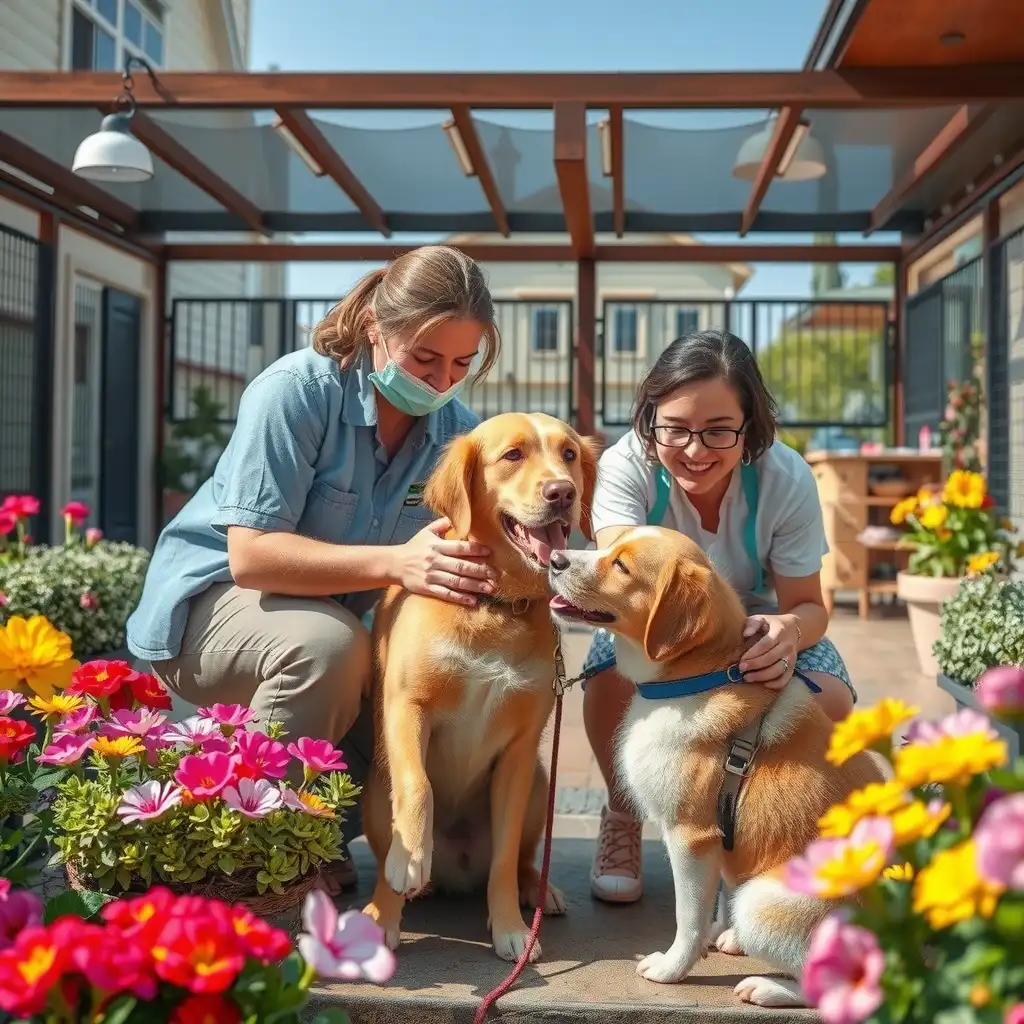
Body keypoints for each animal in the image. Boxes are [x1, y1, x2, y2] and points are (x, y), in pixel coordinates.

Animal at [364, 407, 598, 958]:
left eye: (569, 454)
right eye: (512, 454)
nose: (562, 492)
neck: (495, 606)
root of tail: (454, 872)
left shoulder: (519, 752)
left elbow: (505, 857)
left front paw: (511, 926)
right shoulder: (407, 707)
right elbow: (419, 788)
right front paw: (403, 873)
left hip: (540, 786)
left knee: (521, 860)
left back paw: (538, 889)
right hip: (373, 792)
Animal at [548, 528, 884, 1007]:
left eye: (622, 566)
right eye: (606, 544)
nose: (554, 559)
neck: (697, 677)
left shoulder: (689, 837)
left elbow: (688, 918)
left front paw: (673, 968)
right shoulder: (721, 840)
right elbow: (719, 898)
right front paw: (724, 936)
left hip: (762, 903)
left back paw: (768, 987)